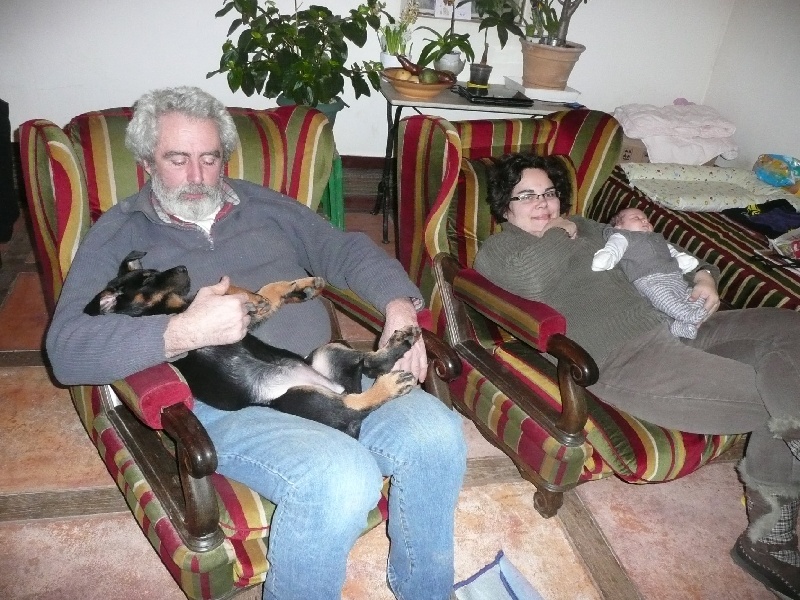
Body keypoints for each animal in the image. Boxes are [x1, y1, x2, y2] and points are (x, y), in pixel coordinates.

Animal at [84, 251, 420, 438]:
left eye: (152, 273)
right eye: (146, 280)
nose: (182, 268)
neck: (172, 308)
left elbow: (257, 290)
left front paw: (297, 287)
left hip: (328, 352)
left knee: (369, 365)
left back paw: (398, 343)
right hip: (297, 396)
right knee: (353, 405)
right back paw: (389, 386)